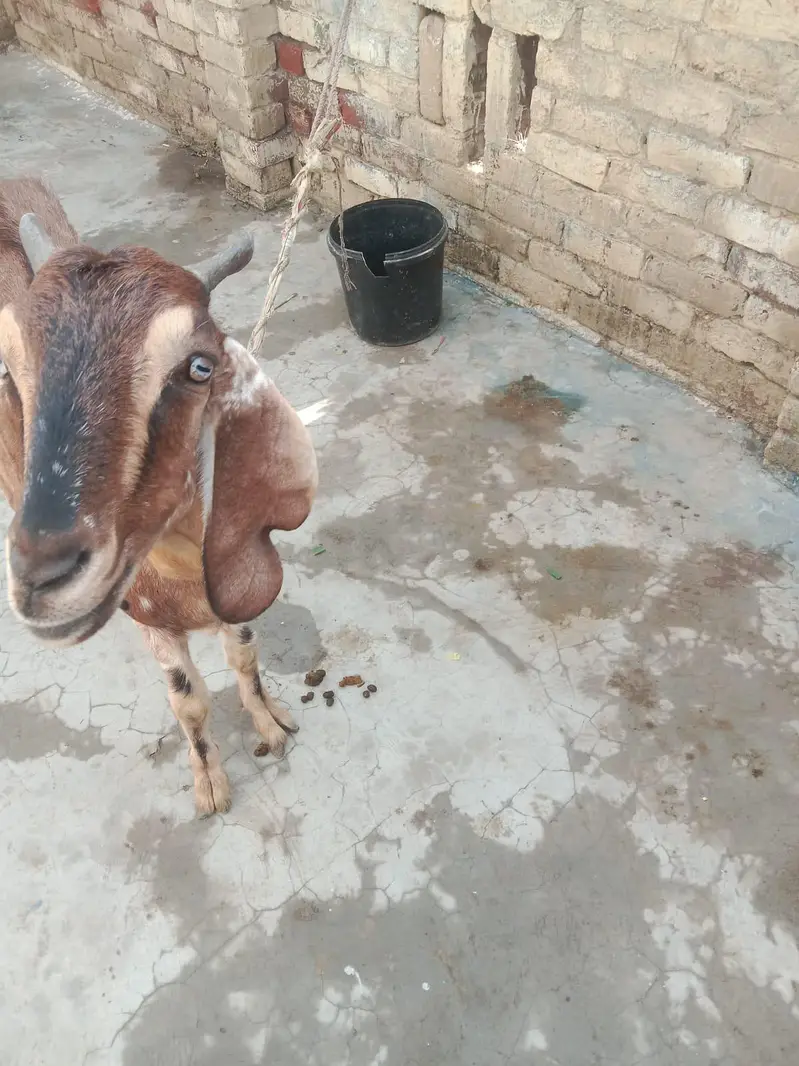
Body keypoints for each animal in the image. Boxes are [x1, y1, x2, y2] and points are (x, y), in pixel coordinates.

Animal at [0, 177, 318, 814]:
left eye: (200, 366)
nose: (41, 576)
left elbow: (245, 654)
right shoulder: (151, 620)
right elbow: (188, 700)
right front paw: (211, 785)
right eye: (4, 368)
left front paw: (271, 724)